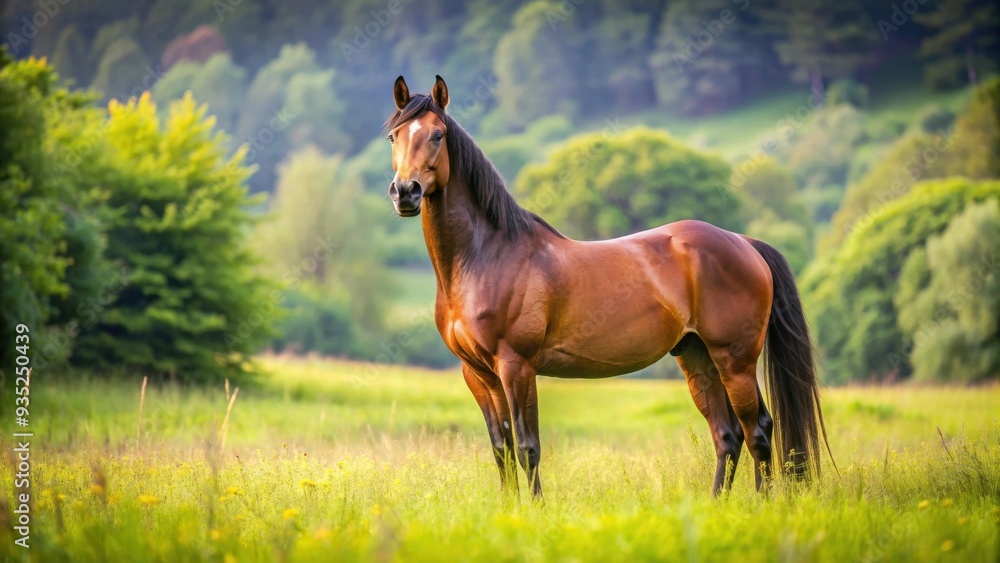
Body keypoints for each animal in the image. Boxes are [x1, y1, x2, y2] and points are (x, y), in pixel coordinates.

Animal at [383, 75, 830, 497]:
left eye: (437, 135)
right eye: (394, 136)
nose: (405, 192)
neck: (486, 256)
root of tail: (744, 243)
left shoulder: (516, 366)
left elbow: (528, 448)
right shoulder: (477, 373)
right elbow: (501, 451)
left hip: (734, 359)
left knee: (758, 431)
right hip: (697, 356)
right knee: (728, 435)